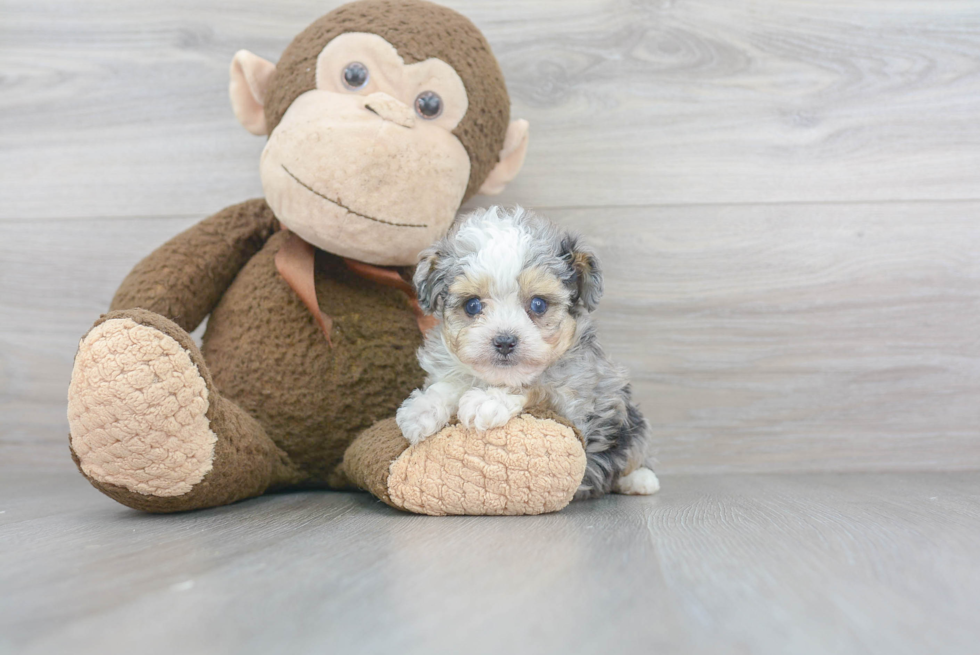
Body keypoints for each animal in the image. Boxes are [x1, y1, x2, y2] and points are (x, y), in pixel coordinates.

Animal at [396, 208, 660, 500]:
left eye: (538, 304)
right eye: (472, 305)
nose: (504, 341)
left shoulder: (577, 402)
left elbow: (538, 388)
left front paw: (488, 400)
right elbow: (450, 384)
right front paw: (422, 409)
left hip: (633, 426)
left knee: (635, 452)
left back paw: (641, 480)